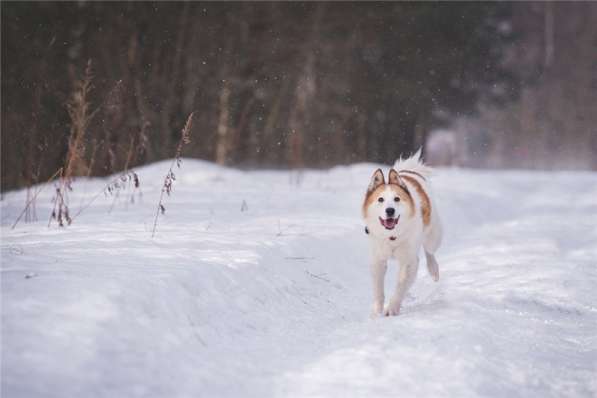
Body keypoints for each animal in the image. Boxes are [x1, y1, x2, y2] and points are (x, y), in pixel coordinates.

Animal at [360, 149, 440, 318]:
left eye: (397, 199)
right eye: (380, 199)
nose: (390, 210)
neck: (392, 236)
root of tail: (409, 171)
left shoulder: (408, 261)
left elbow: (401, 285)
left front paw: (392, 308)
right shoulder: (377, 259)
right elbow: (378, 289)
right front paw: (377, 311)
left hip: (433, 235)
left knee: (429, 250)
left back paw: (433, 270)